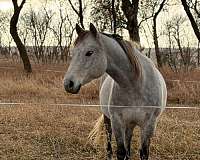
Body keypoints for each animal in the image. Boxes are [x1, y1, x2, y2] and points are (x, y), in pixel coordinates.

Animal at [64, 23, 167, 160]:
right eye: (73, 53)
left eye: (89, 52)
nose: (68, 84)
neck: (136, 84)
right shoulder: (117, 122)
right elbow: (121, 152)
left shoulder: (149, 125)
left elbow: (143, 153)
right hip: (109, 120)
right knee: (109, 147)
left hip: (130, 124)